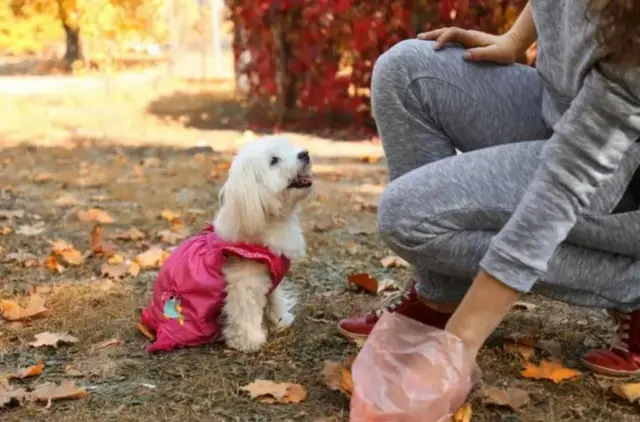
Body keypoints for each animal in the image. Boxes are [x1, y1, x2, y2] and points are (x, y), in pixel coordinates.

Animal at [215, 136, 312, 352]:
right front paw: (250, 341)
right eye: (273, 160)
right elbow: (244, 312)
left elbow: (274, 299)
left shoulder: (271, 277)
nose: (305, 153)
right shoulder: (244, 281)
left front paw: (280, 320)